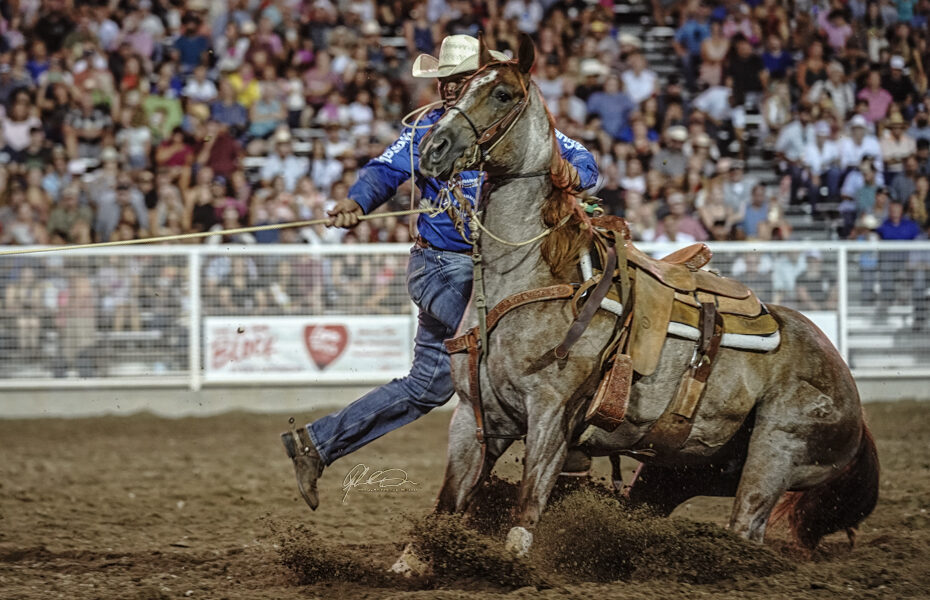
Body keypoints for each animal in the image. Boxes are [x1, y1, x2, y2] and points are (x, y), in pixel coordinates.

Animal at [410, 36, 872, 564]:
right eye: (461, 87)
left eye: (503, 93)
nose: (432, 147)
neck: (531, 278)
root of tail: (851, 394)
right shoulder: (475, 418)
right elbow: (446, 506)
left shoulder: (551, 416)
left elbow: (527, 508)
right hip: (682, 468)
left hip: (776, 453)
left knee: (747, 529)